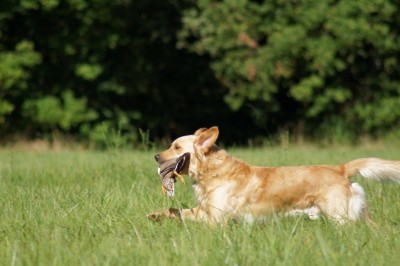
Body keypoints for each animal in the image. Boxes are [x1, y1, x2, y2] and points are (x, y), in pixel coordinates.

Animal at [148, 127, 400, 224]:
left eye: (176, 147)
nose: (156, 156)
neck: (212, 172)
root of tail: (340, 168)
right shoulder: (203, 211)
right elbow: (174, 210)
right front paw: (154, 215)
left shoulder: (216, 219)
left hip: (340, 216)